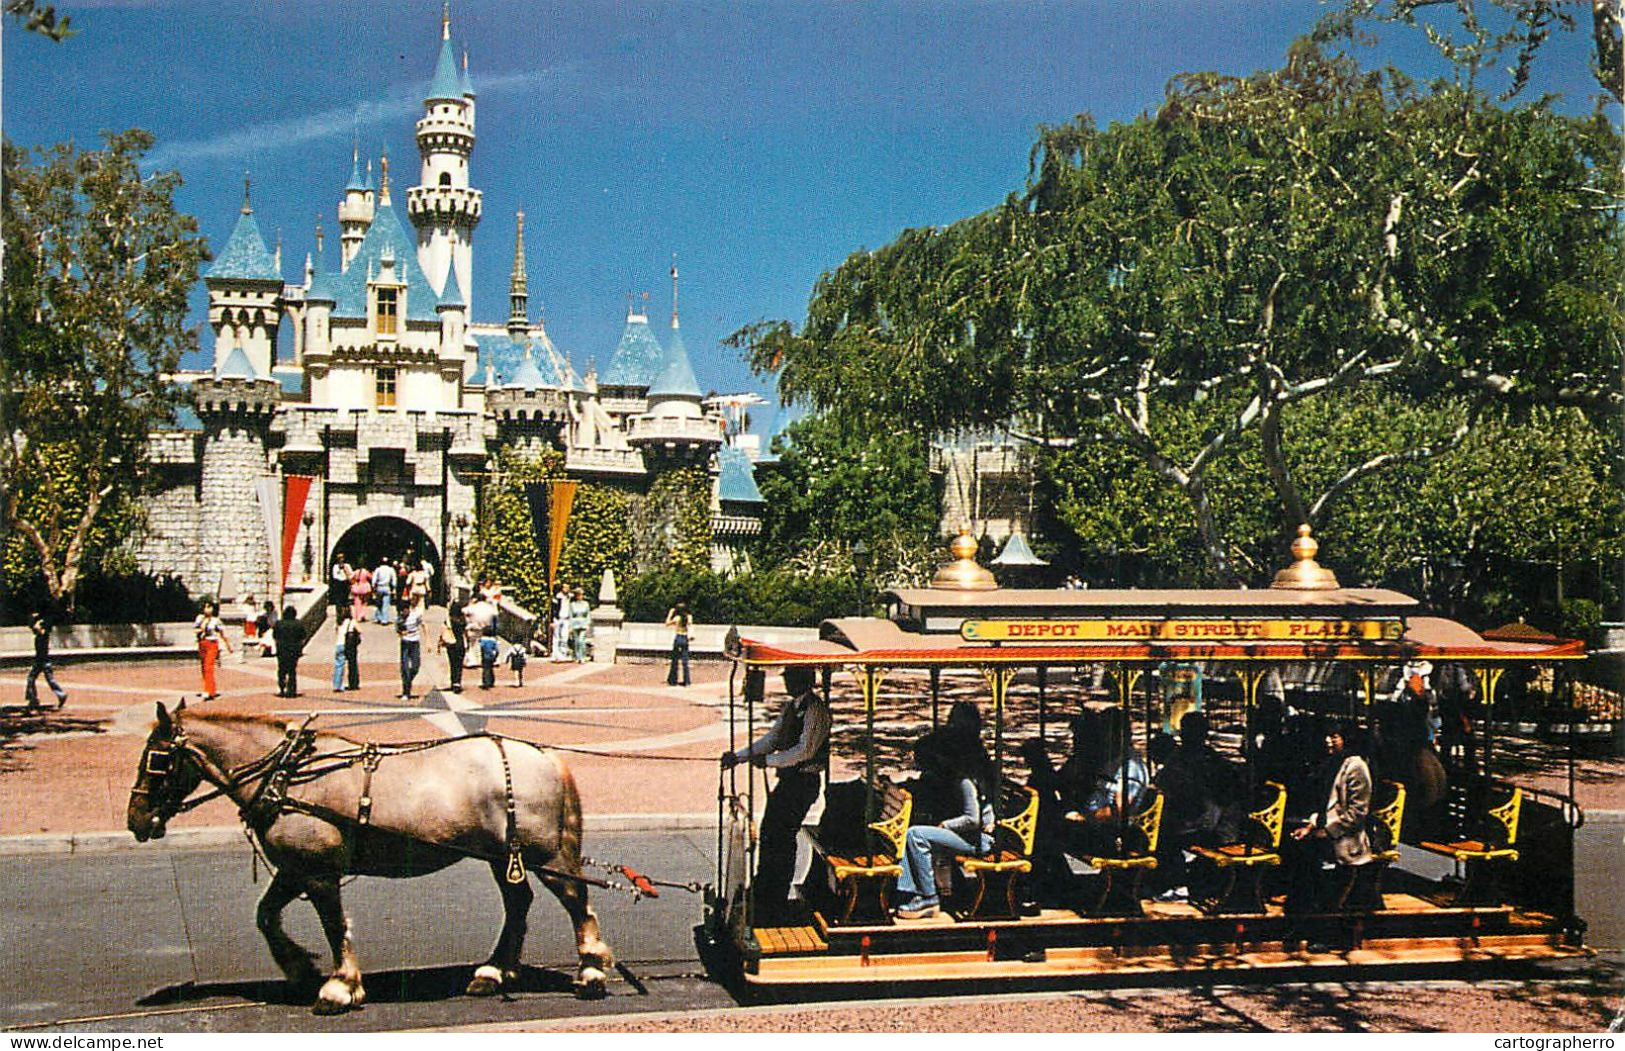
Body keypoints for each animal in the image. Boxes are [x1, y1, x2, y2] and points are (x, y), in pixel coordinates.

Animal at [123, 701, 611, 1013]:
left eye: (157, 759)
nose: (136, 819)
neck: (289, 776)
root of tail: (543, 756)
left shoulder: (318, 873)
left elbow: (334, 925)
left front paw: (340, 988)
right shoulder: (295, 869)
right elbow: (265, 915)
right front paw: (299, 968)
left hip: (545, 854)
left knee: (577, 903)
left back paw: (590, 972)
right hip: (502, 856)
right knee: (518, 904)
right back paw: (494, 972)